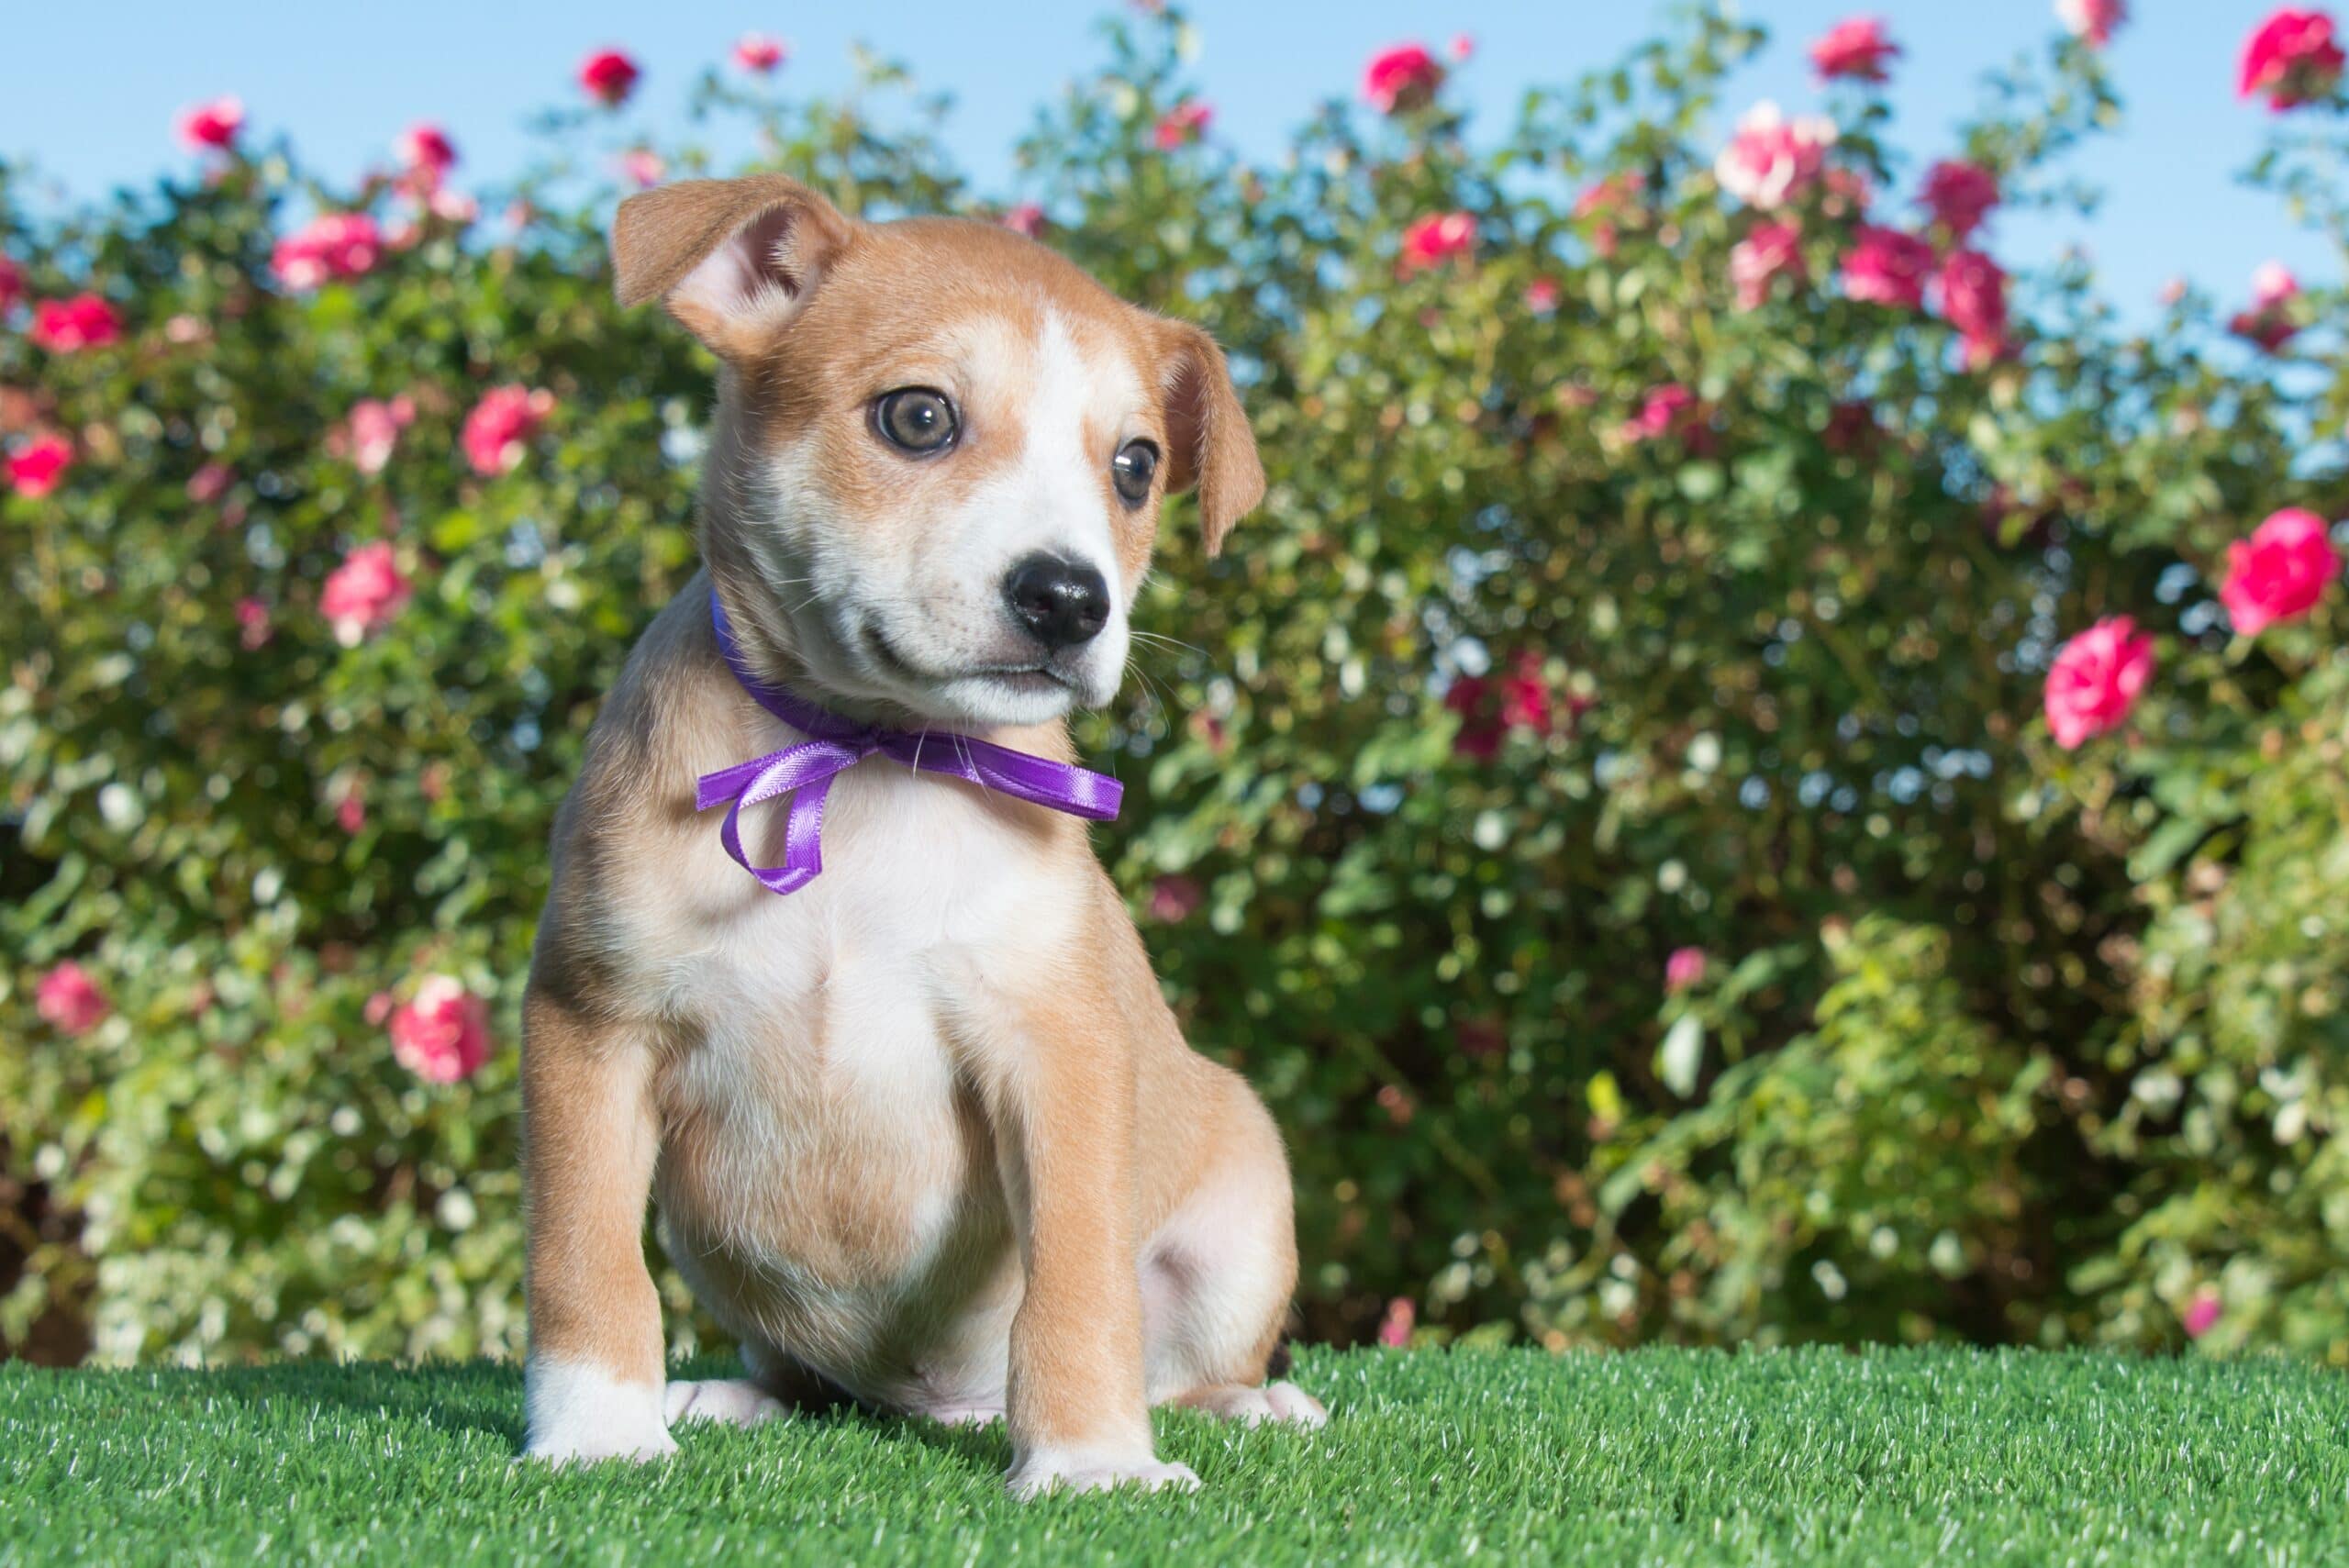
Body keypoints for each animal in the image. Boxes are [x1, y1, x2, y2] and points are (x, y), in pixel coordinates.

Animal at [518, 174, 1324, 1493]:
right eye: (917, 417)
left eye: (1136, 466)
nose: (1069, 598)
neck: (871, 763)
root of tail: (933, 1405)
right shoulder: (590, 1025)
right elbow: (583, 1257)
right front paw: (594, 1429)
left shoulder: (1056, 1054)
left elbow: (1079, 1288)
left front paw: (1094, 1461)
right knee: (794, 1375)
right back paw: (727, 1396)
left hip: (1243, 1200)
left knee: (1183, 1360)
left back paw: (1247, 1403)